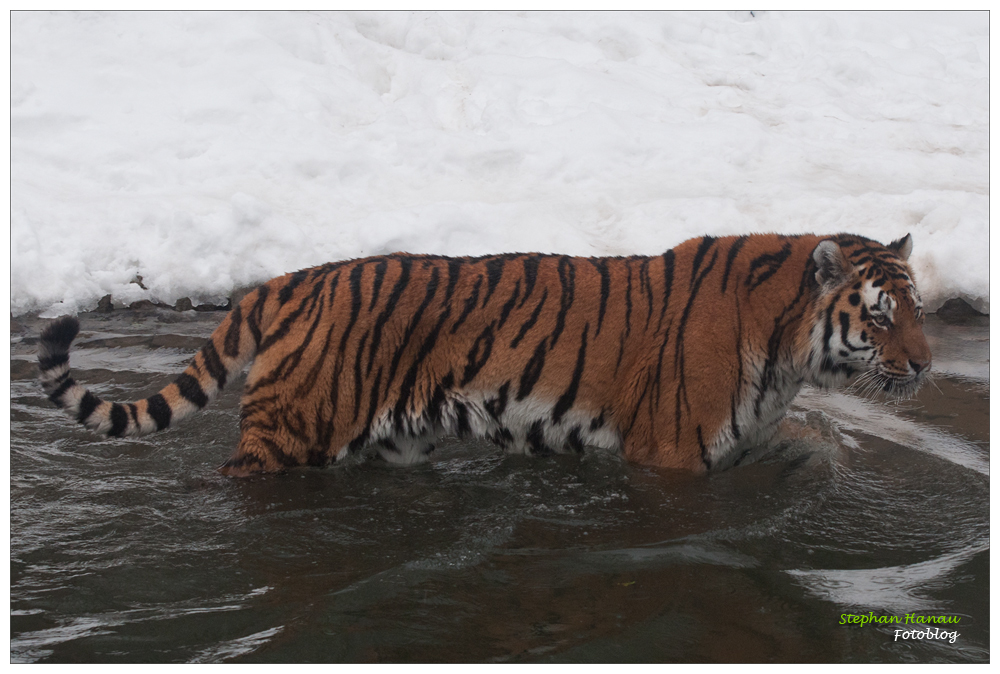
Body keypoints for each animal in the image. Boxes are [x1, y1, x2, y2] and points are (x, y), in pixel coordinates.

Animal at [37, 234, 928, 476]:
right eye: (881, 316)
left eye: (919, 308)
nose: (923, 364)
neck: (786, 352)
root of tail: (287, 281)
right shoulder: (669, 457)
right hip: (288, 434)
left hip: (387, 441)